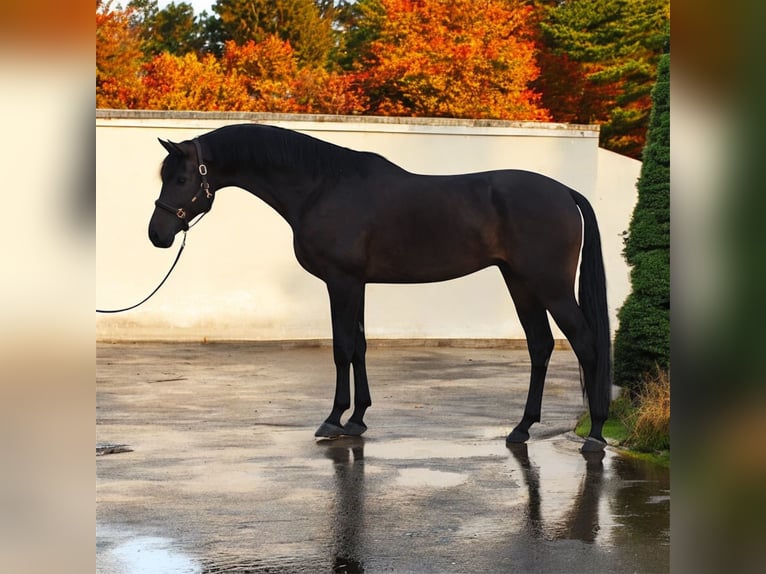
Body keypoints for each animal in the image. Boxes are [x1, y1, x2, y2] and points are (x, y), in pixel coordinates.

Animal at [149, 123, 611, 452]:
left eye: (182, 178)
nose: (157, 235)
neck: (323, 186)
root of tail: (565, 193)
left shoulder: (342, 282)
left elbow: (342, 348)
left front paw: (334, 420)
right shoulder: (358, 284)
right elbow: (360, 346)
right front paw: (357, 420)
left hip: (550, 287)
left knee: (586, 343)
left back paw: (596, 433)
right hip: (520, 283)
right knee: (541, 346)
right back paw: (522, 428)